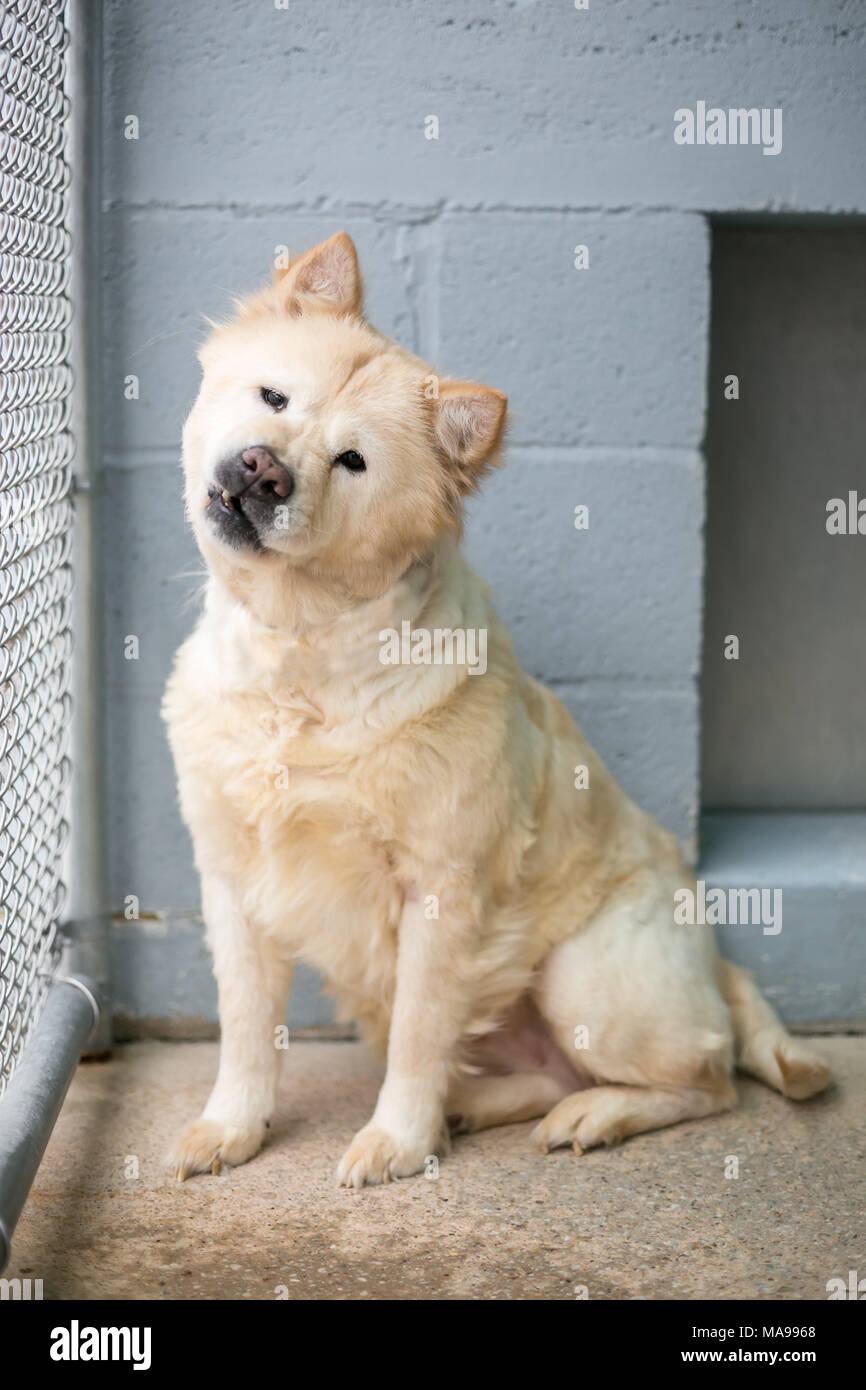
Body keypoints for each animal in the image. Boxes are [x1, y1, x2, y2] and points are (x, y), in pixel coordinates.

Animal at [162, 230, 834, 1184]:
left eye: (352, 462)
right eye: (273, 397)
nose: (262, 469)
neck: (300, 654)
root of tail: (715, 951)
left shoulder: (441, 893)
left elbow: (419, 1033)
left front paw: (398, 1141)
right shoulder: (230, 880)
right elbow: (248, 1030)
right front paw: (234, 1126)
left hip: (583, 978)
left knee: (708, 1080)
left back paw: (591, 1114)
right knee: (548, 1072)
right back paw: (476, 1106)